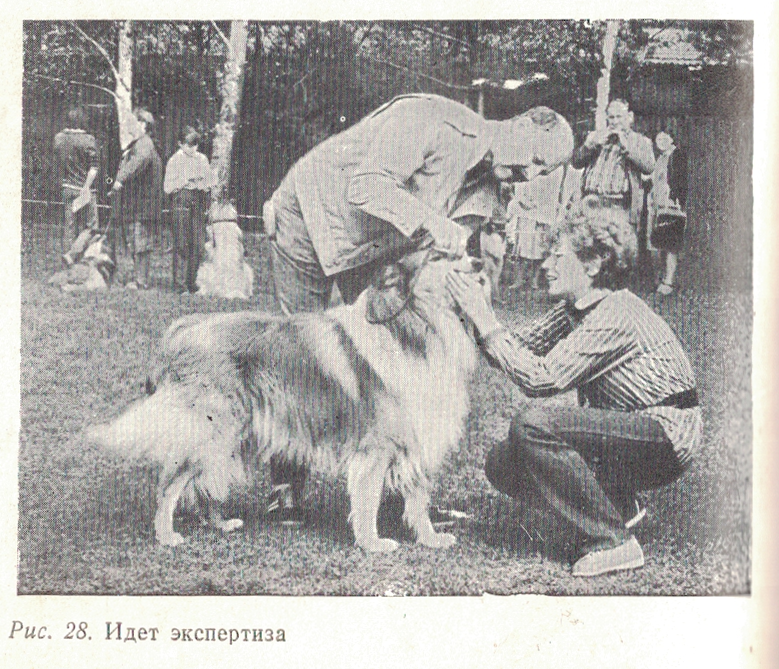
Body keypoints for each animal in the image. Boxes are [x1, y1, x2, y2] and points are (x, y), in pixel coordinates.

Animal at [88, 248, 484, 552]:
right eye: (440, 255)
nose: (480, 262)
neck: (411, 330)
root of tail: (181, 330)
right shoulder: (376, 445)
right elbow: (369, 498)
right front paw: (372, 544)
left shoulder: (417, 435)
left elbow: (418, 499)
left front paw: (430, 538)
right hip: (213, 430)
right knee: (170, 483)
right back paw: (166, 535)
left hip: (234, 435)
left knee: (204, 483)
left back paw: (220, 524)